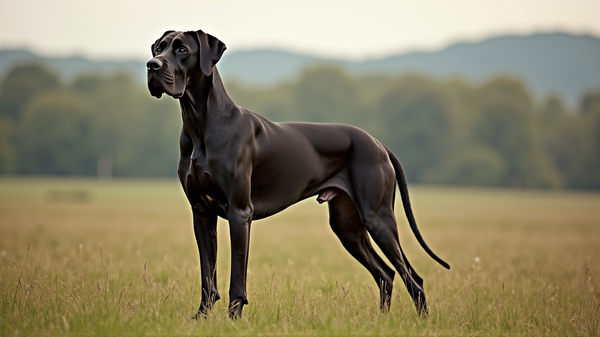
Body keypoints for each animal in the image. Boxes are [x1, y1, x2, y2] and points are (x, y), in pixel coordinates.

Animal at [146, 28, 450, 318]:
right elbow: (207, 278)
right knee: (386, 273)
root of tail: (378, 143)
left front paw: (233, 320)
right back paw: (381, 322)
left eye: (182, 50)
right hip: (347, 225)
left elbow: (237, 279)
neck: (200, 125)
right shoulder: (201, 212)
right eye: (159, 48)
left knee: (413, 277)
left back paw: (422, 322)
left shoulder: (240, 212)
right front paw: (200, 319)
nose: (152, 65)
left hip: (378, 218)